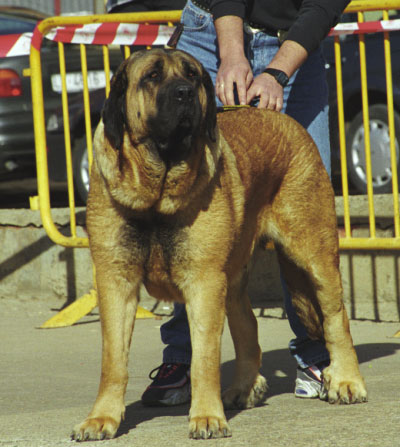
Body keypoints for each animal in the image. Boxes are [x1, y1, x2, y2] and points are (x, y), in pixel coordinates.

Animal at [71, 48, 366, 440]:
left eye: (193, 76)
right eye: (152, 76)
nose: (183, 93)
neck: (157, 193)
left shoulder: (204, 282)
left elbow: (204, 359)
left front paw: (207, 418)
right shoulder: (115, 281)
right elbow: (113, 360)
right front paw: (101, 418)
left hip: (314, 255)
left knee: (336, 318)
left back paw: (346, 381)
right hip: (235, 277)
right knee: (248, 328)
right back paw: (244, 388)